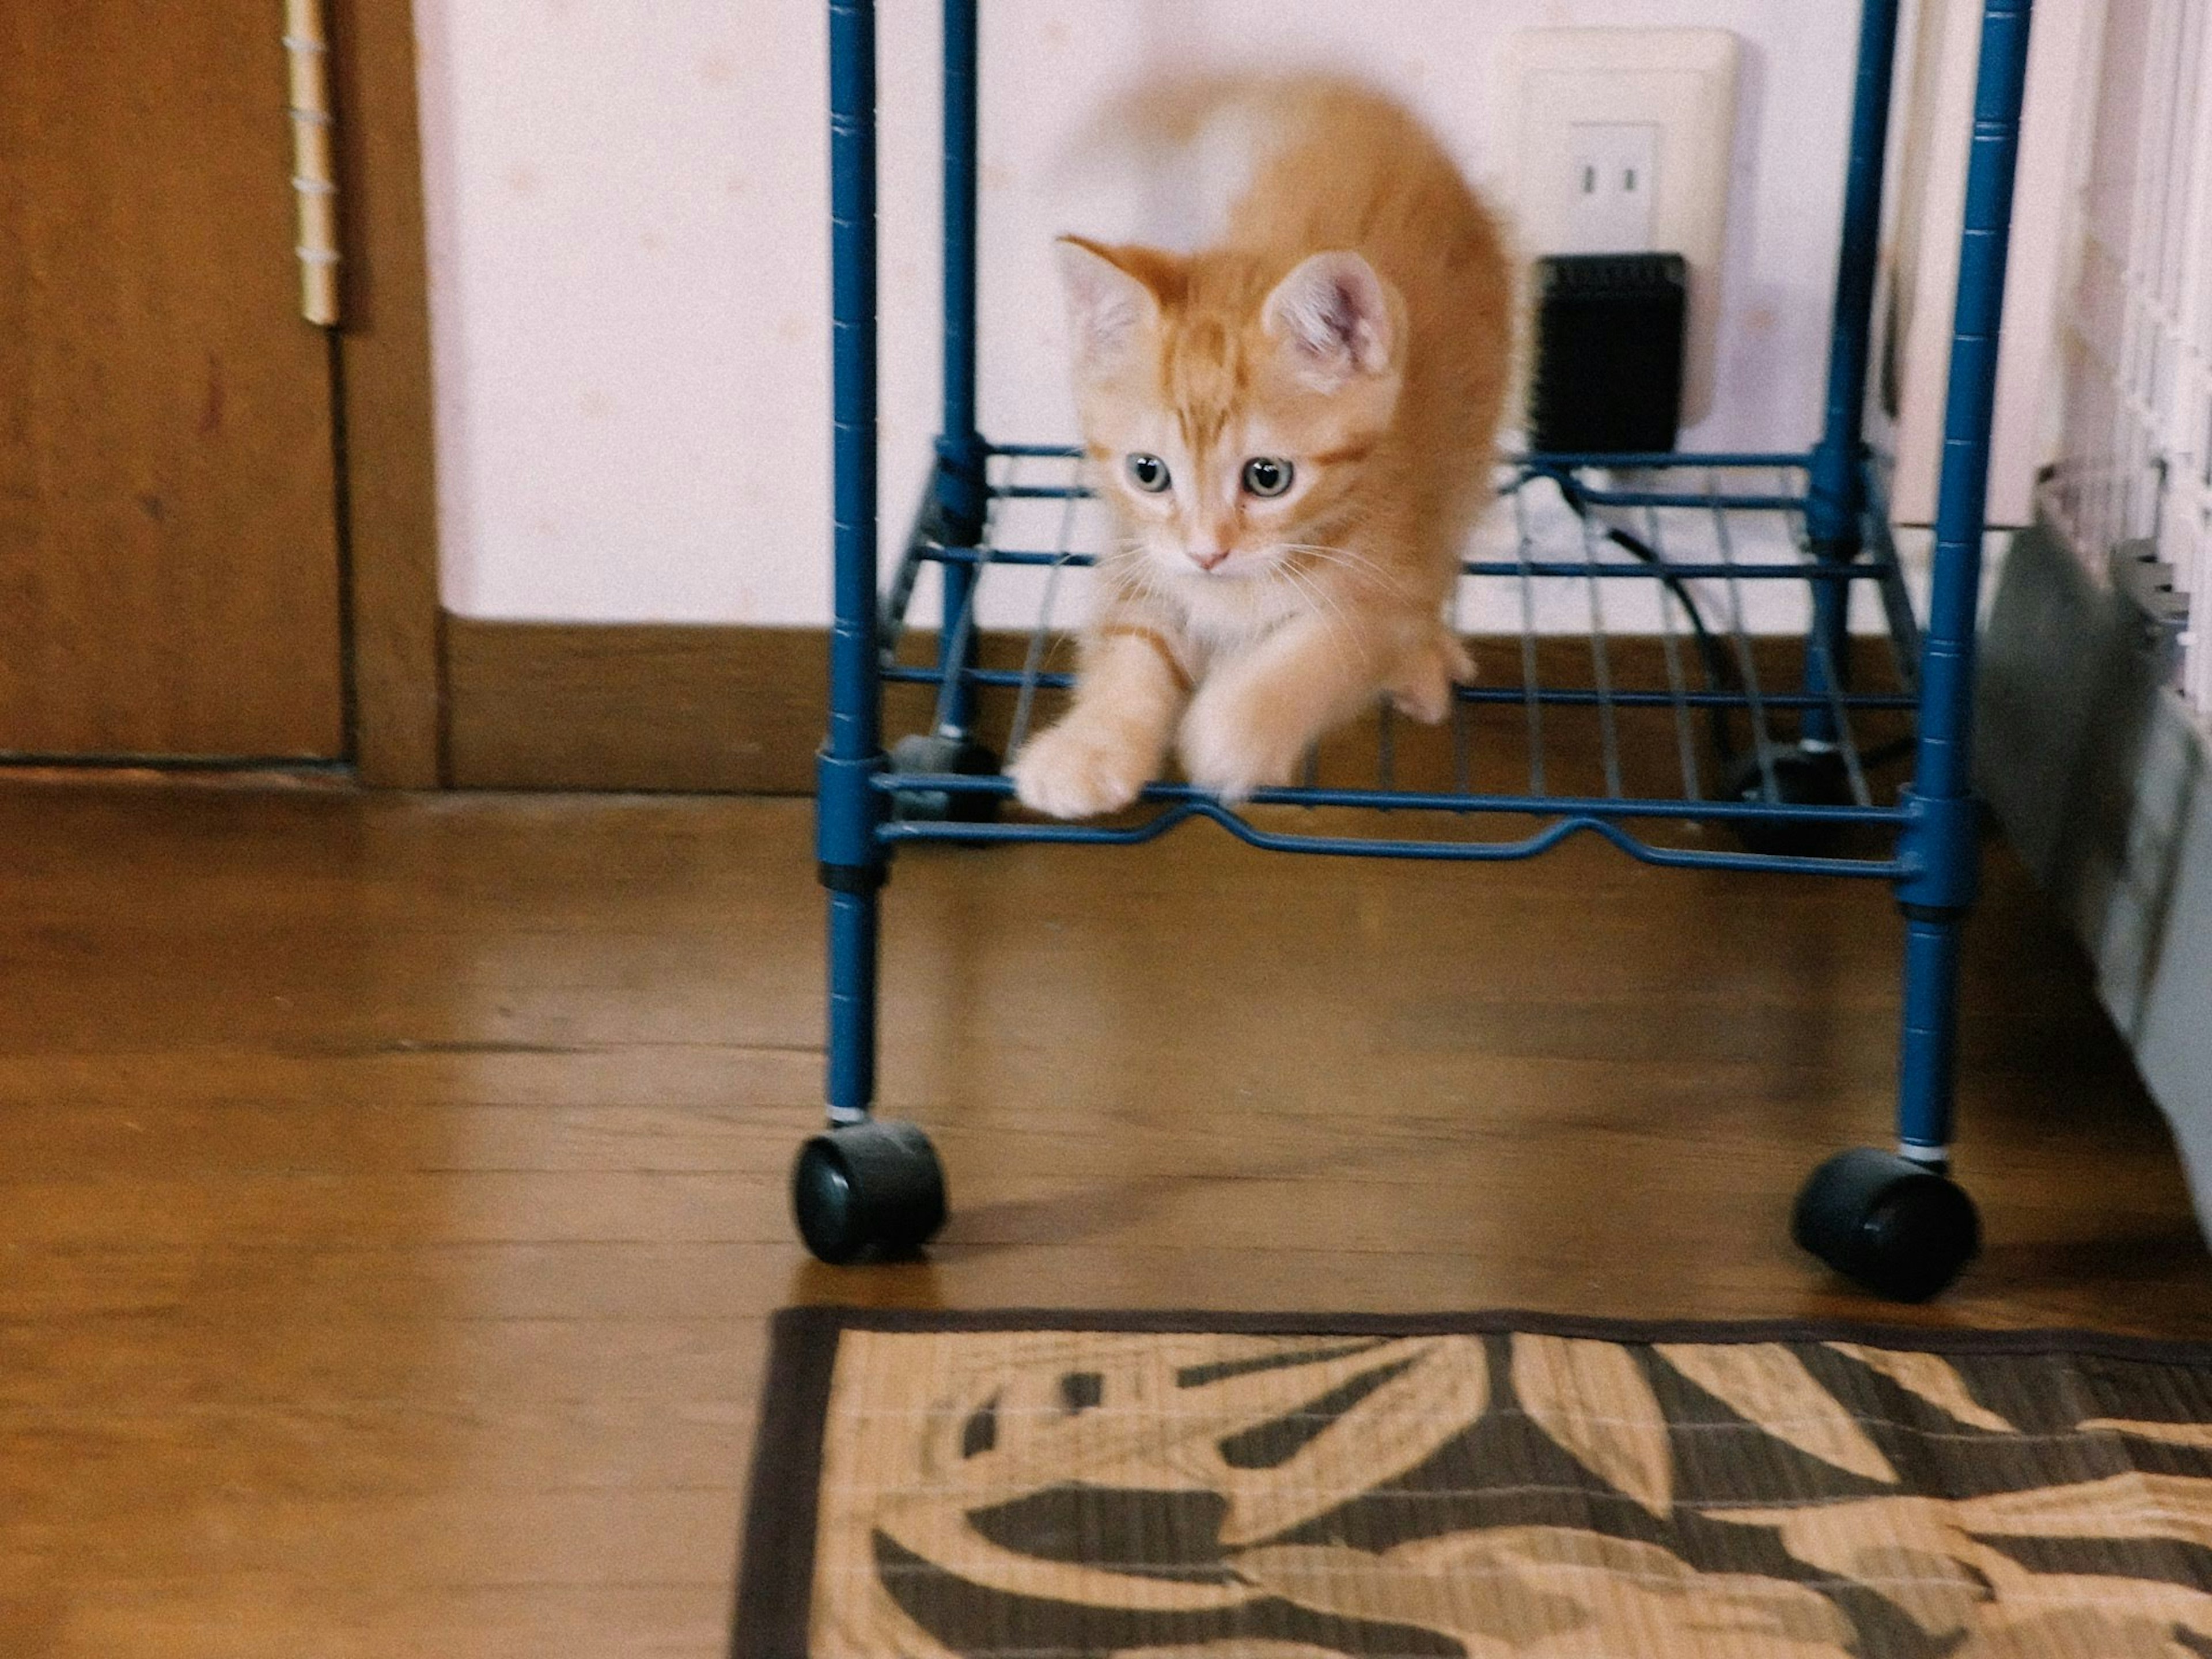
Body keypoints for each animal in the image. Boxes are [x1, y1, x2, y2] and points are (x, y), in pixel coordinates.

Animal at [1017, 78, 1521, 818]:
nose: (1208, 553)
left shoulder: (1398, 570)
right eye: (1149, 472)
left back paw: (1426, 669)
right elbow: (1132, 645)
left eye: (1267, 477)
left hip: (1470, 443)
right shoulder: (1142, 552)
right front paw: (1087, 749)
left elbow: (1330, 648)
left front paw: (1231, 732)